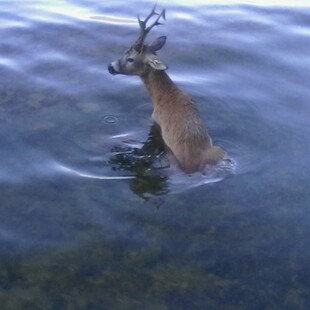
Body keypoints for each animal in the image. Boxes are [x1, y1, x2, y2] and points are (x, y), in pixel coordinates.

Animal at [108, 6, 225, 173]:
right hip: (219, 150)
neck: (162, 97)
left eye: (130, 59)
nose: (110, 66)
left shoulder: (156, 119)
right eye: (124, 51)